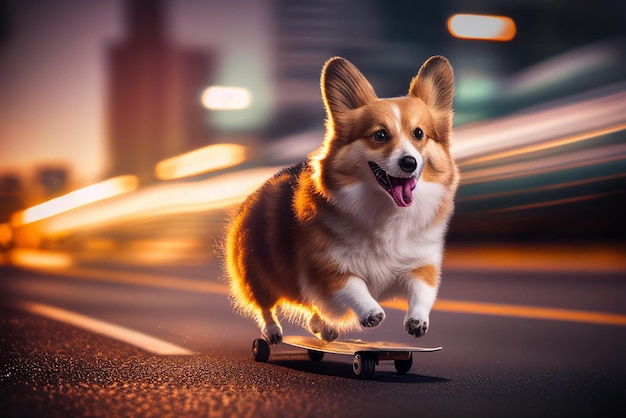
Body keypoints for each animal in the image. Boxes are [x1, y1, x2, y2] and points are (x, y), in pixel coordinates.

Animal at [222, 54, 456, 342]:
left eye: (419, 133)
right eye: (380, 135)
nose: (409, 162)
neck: (386, 214)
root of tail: (255, 194)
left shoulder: (421, 263)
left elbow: (421, 291)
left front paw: (417, 321)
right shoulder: (327, 267)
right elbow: (354, 287)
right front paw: (371, 312)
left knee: (312, 307)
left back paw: (321, 326)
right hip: (258, 274)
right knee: (265, 305)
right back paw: (273, 331)